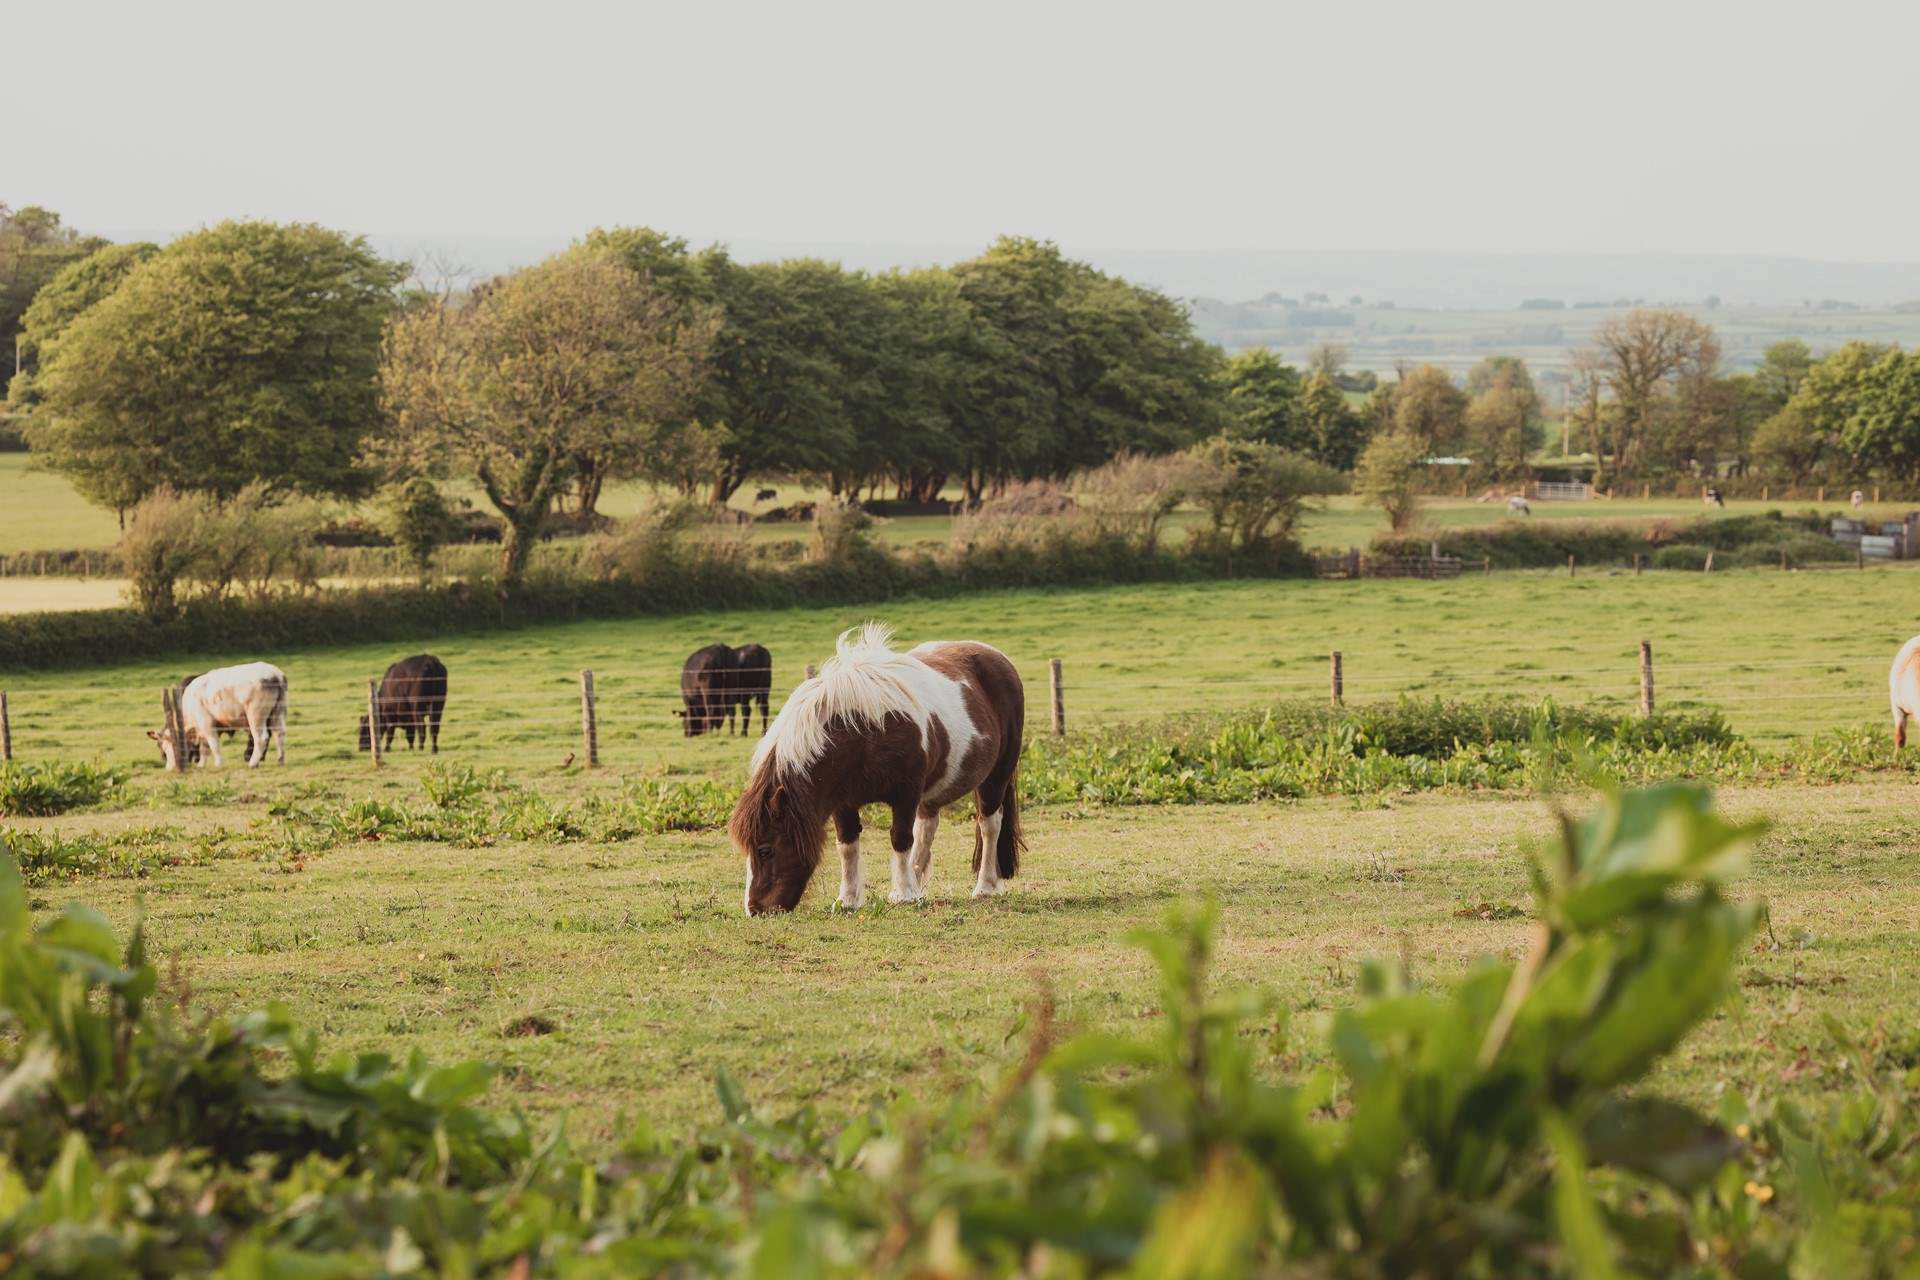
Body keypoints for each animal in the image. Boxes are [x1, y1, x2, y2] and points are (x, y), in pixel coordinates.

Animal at [728, 623, 1025, 915]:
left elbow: (900, 839)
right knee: (926, 830)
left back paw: (984, 887)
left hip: (996, 777)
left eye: (765, 850)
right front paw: (848, 900)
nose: (754, 909)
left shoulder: (906, 793)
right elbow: (847, 845)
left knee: (988, 825)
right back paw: (918, 885)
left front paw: (902, 895)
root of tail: (997, 657)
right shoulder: (843, 803)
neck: (862, 732)